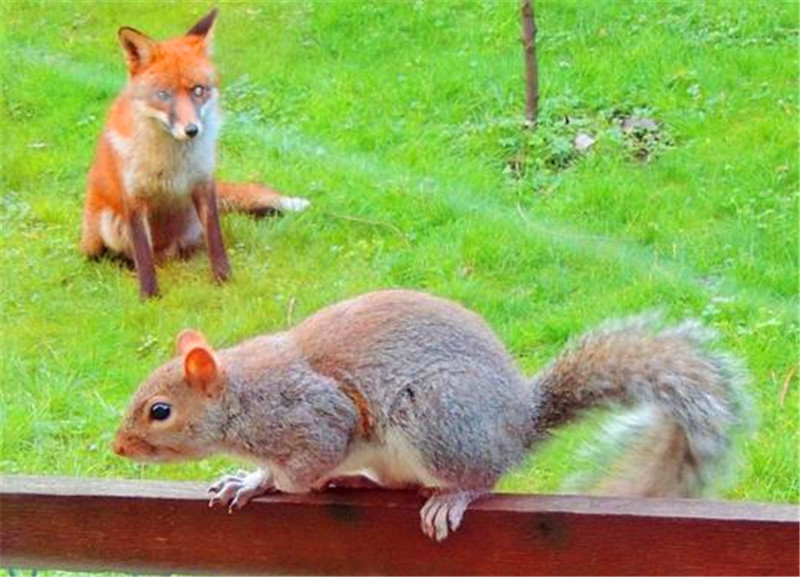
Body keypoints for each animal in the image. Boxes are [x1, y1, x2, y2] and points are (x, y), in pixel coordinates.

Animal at [81, 7, 306, 296]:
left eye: (198, 90)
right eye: (164, 95)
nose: (191, 130)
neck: (173, 162)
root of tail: (167, 253)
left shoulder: (203, 182)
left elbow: (216, 239)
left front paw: (224, 281)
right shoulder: (134, 196)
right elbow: (143, 256)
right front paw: (149, 297)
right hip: (105, 226)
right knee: (119, 256)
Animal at [114, 292, 752, 540]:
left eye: (159, 411)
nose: (119, 447)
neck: (241, 394)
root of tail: (517, 426)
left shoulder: (313, 415)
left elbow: (301, 468)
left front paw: (262, 480)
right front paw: (242, 479)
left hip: (437, 417)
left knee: (480, 477)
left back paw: (451, 497)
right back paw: (357, 481)